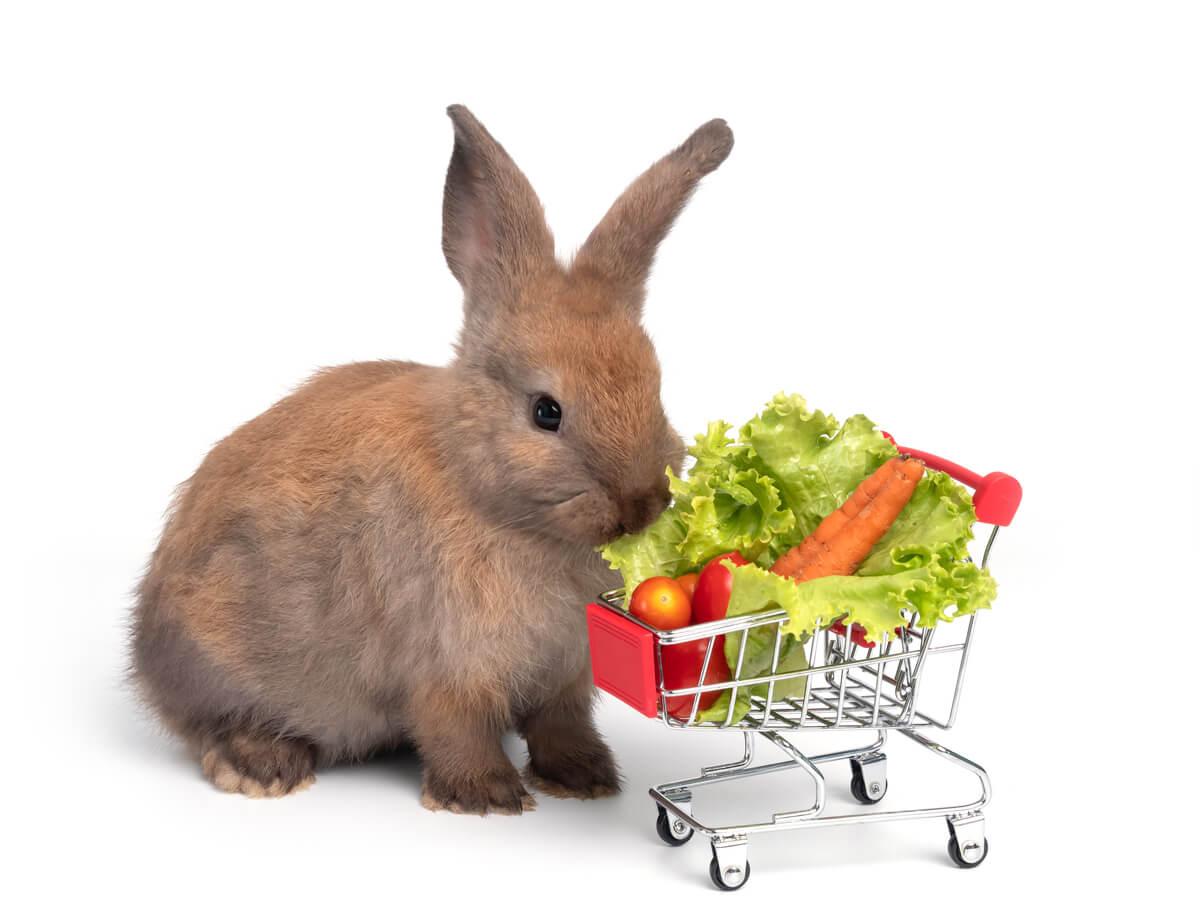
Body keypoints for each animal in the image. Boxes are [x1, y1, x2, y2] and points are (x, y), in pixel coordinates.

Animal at [130, 105, 733, 814]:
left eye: (656, 387)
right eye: (546, 411)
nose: (641, 504)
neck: (495, 503)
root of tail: (145, 644)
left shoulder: (565, 677)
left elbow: (561, 725)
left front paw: (585, 780)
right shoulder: (448, 667)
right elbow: (456, 728)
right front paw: (486, 797)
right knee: (210, 723)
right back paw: (263, 766)